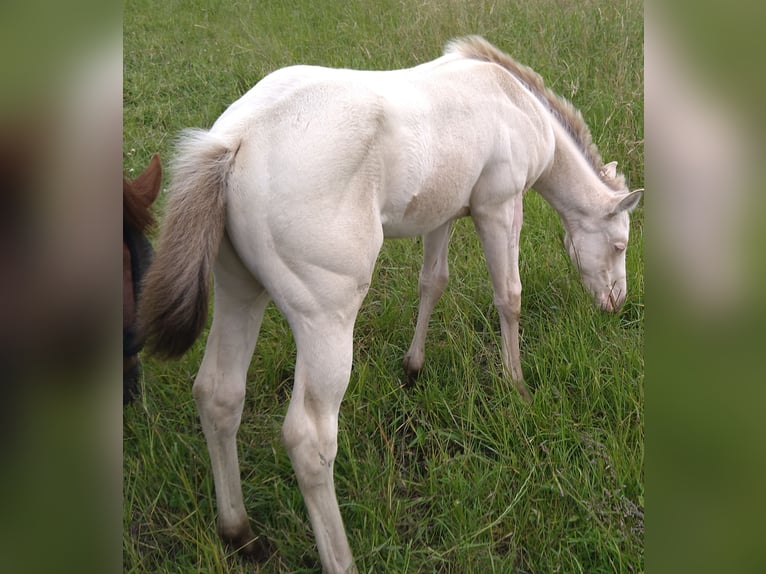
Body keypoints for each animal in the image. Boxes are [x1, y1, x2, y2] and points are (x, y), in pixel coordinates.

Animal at [138, 37, 640, 574]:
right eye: (619, 245)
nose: (616, 302)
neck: (514, 101)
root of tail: (234, 141)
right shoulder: (499, 207)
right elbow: (509, 296)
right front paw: (517, 385)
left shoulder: (444, 211)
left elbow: (432, 282)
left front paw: (413, 368)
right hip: (326, 320)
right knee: (310, 439)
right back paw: (339, 558)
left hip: (240, 290)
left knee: (218, 395)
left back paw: (240, 534)